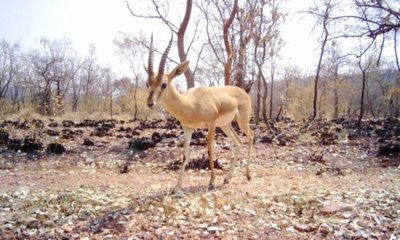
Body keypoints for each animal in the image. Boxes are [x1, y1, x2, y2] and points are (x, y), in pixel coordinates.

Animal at [146, 36, 253, 193]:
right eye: (147, 83)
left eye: (164, 84)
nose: (150, 103)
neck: (191, 104)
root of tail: (243, 92)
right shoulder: (187, 128)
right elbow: (185, 154)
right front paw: (177, 187)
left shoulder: (211, 124)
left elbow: (209, 150)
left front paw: (212, 181)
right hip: (226, 125)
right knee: (238, 142)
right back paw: (227, 179)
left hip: (242, 121)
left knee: (251, 137)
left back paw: (248, 175)